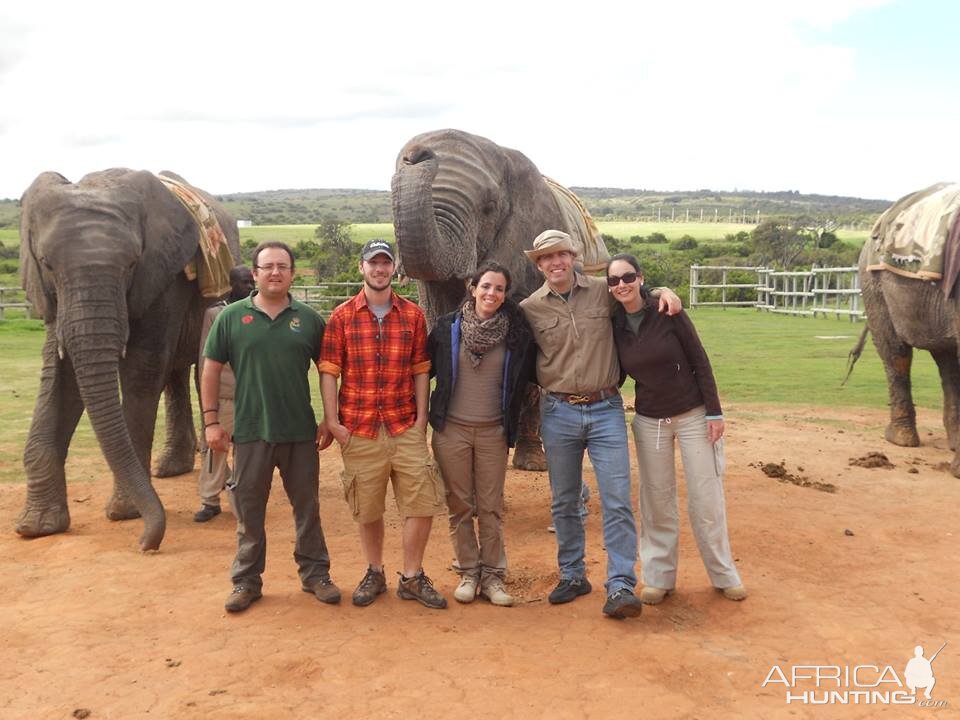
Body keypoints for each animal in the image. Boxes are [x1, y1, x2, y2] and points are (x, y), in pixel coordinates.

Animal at [16, 170, 240, 552]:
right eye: (46, 264)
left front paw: (123, 513)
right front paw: (37, 526)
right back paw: (170, 469)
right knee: (175, 373)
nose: (147, 543)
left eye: (132, 264)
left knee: (194, 371)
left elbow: (142, 370)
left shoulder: (165, 276)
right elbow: (61, 375)